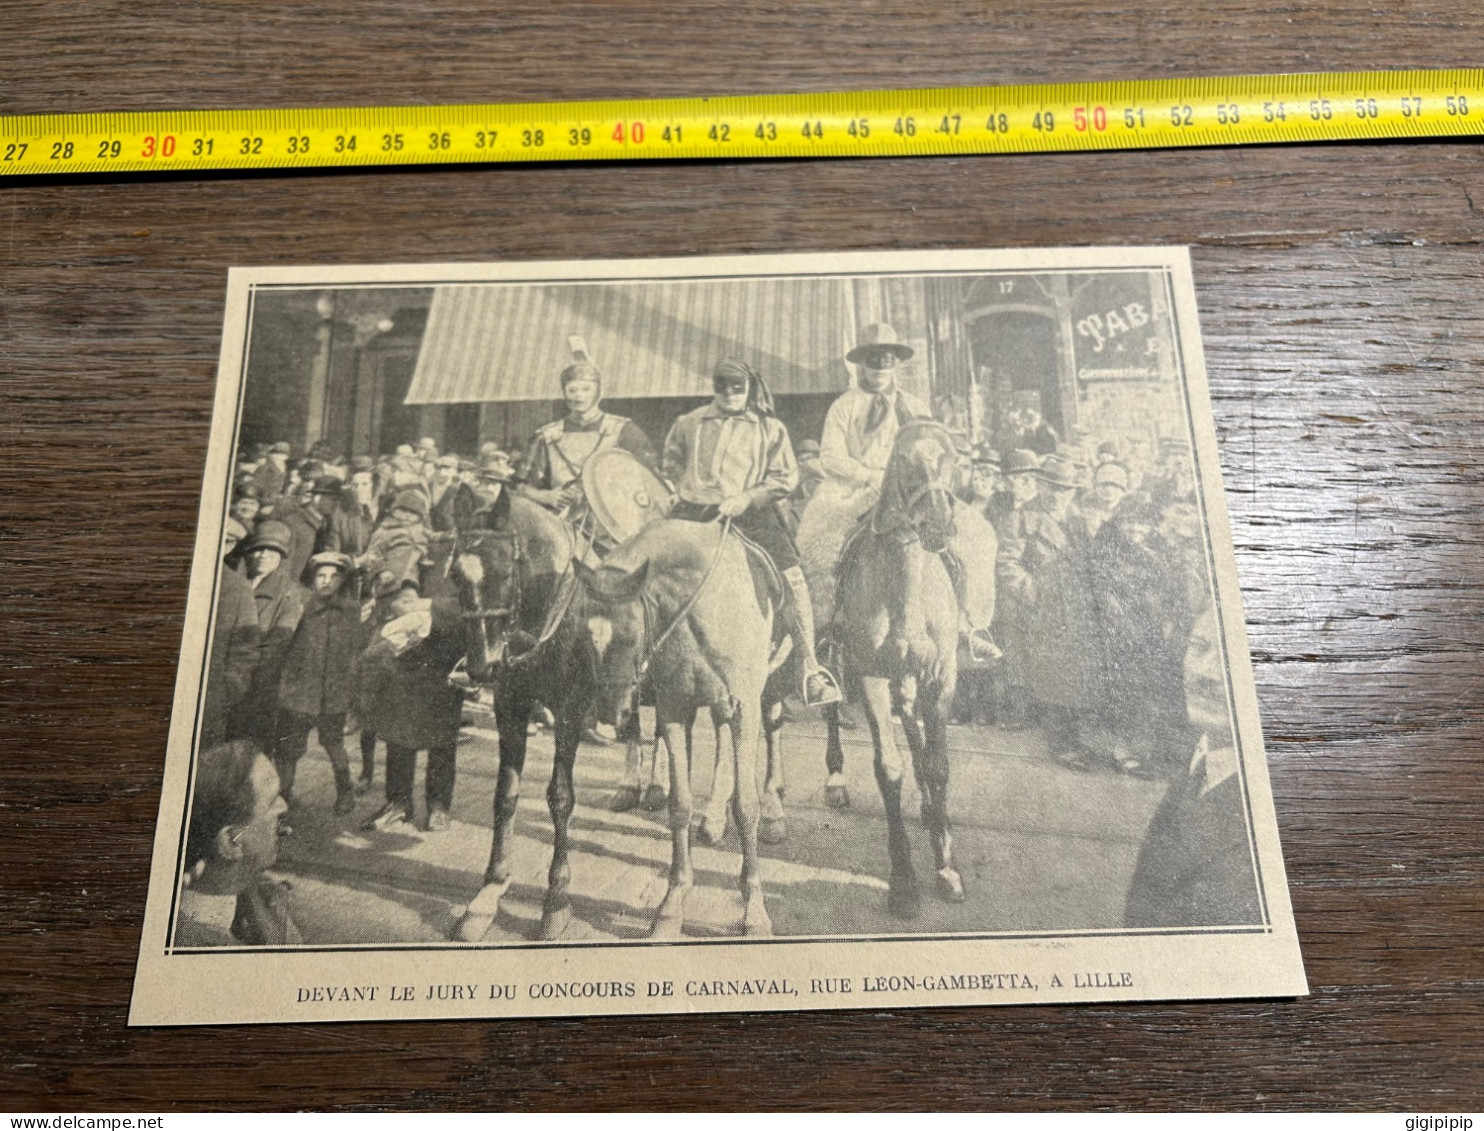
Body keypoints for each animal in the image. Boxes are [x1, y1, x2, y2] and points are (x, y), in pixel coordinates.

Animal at [831, 418, 967, 914]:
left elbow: (938, 763)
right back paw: (835, 781)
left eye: (954, 457)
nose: (938, 525)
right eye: (903, 460)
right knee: (831, 708)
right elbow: (889, 768)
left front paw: (946, 866)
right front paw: (904, 879)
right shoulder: (870, 674)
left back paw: (928, 805)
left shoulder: (940, 675)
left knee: (912, 724)